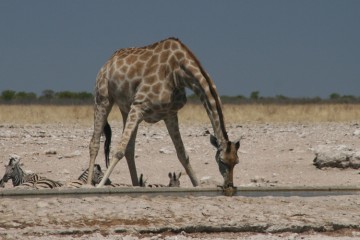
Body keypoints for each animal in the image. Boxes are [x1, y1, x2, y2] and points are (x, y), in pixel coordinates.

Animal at [88, 37, 240, 188]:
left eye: (236, 162)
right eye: (222, 161)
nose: (229, 185)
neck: (179, 73)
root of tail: (108, 62)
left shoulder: (170, 113)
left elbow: (182, 154)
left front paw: (197, 185)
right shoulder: (139, 106)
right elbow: (119, 150)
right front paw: (100, 186)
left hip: (126, 108)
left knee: (130, 149)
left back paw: (136, 184)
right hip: (103, 98)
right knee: (95, 143)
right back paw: (89, 184)